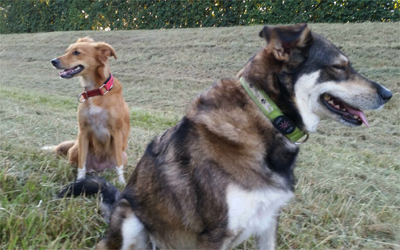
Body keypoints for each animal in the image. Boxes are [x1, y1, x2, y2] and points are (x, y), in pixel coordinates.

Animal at [47, 38, 130, 185]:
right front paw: (80, 180)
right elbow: (82, 164)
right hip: (76, 148)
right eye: (67, 51)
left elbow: (119, 165)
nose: (53, 61)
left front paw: (121, 183)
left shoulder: (116, 132)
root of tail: (97, 169)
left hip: (123, 154)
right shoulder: (83, 131)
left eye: (76, 52)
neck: (96, 91)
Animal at [58, 24, 390, 249]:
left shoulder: (268, 221)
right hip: (131, 220)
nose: (388, 94)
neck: (264, 115)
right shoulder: (215, 234)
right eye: (339, 67)